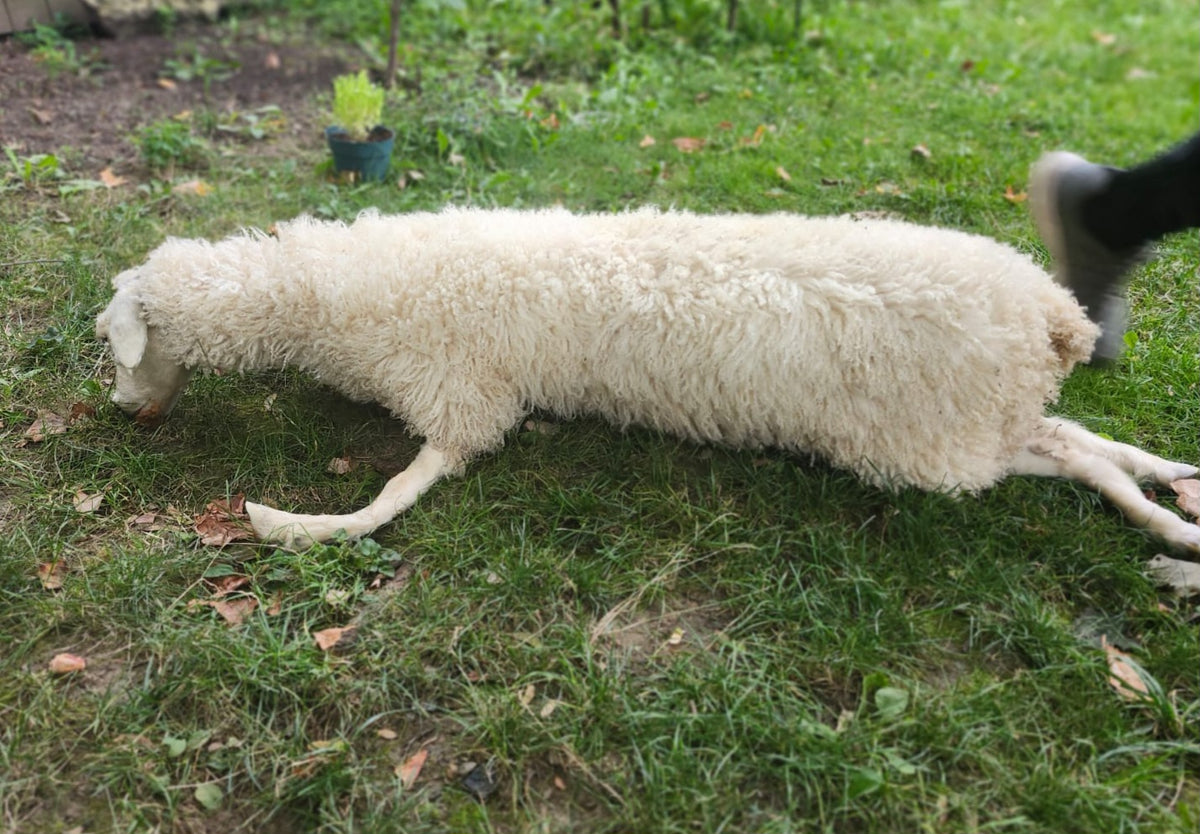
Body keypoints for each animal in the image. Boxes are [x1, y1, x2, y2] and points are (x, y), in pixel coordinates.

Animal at [94, 207, 1200, 553]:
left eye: (117, 343)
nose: (116, 409)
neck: (329, 294)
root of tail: (1049, 319)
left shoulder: (464, 401)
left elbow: (398, 492)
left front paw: (288, 523)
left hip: (934, 448)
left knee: (1067, 456)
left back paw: (1170, 520)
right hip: (967, 429)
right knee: (1076, 445)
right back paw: (1176, 501)